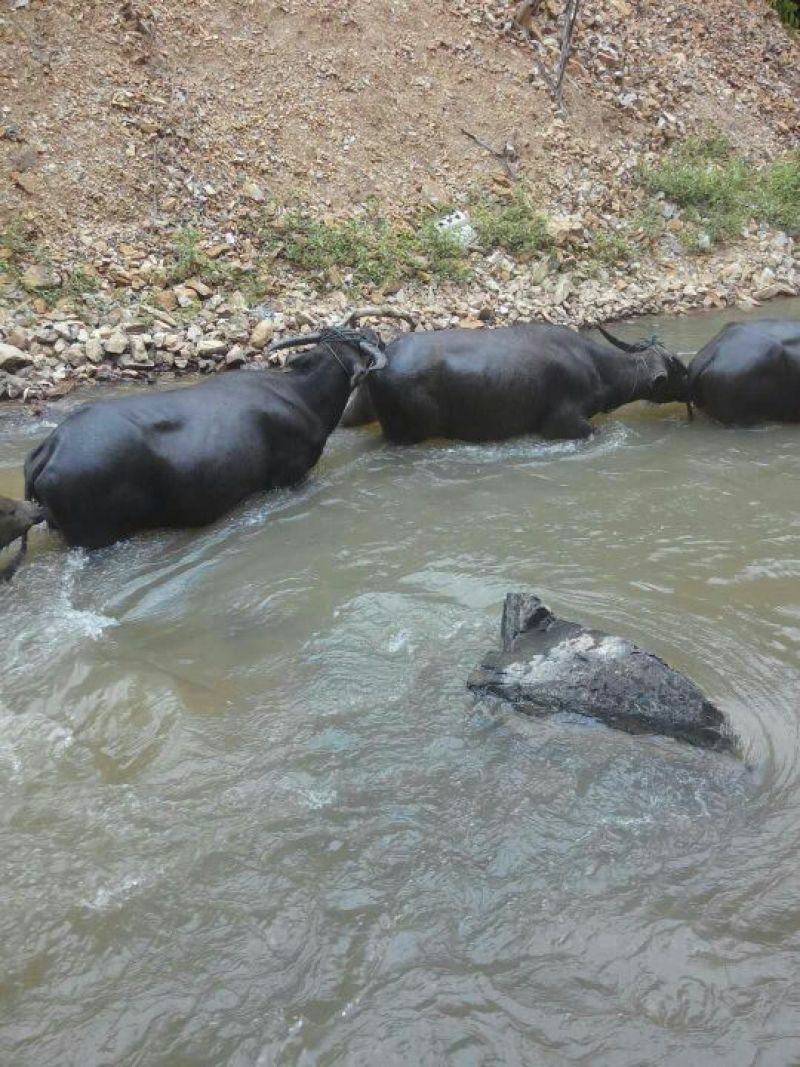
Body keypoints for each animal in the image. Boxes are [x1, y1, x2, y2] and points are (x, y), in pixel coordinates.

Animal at [339, 322, 691, 443]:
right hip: (409, 432)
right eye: (678, 369)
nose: (691, 383)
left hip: (358, 410)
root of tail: (380, 359)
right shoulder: (562, 425)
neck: (599, 369)